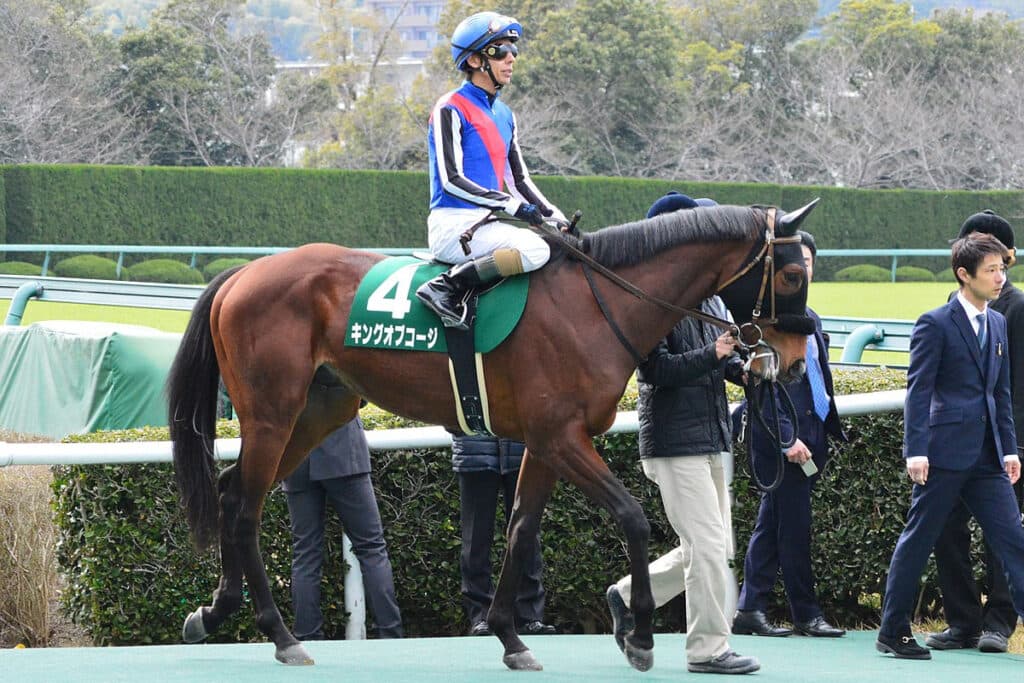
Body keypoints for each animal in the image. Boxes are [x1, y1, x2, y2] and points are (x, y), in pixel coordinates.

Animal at [167, 200, 819, 672]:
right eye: (792, 273)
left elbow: (520, 528)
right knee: (245, 507)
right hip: (273, 414)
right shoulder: (562, 437)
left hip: (317, 412)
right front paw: (637, 636)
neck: (595, 304)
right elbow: (632, 517)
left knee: (230, 490)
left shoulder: (545, 443)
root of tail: (242, 273)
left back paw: (214, 613)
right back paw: (280, 634)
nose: (789, 361)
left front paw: (511, 637)